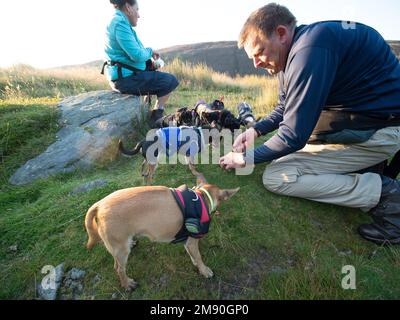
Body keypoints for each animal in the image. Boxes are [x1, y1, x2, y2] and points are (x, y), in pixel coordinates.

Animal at [84, 179, 239, 292]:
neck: (202, 196)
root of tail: (99, 205)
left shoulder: (188, 243)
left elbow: (193, 255)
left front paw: (195, 262)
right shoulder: (192, 241)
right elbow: (199, 257)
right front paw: (204, 270)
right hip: (121, 251)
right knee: (119, 269)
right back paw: (127, 284)